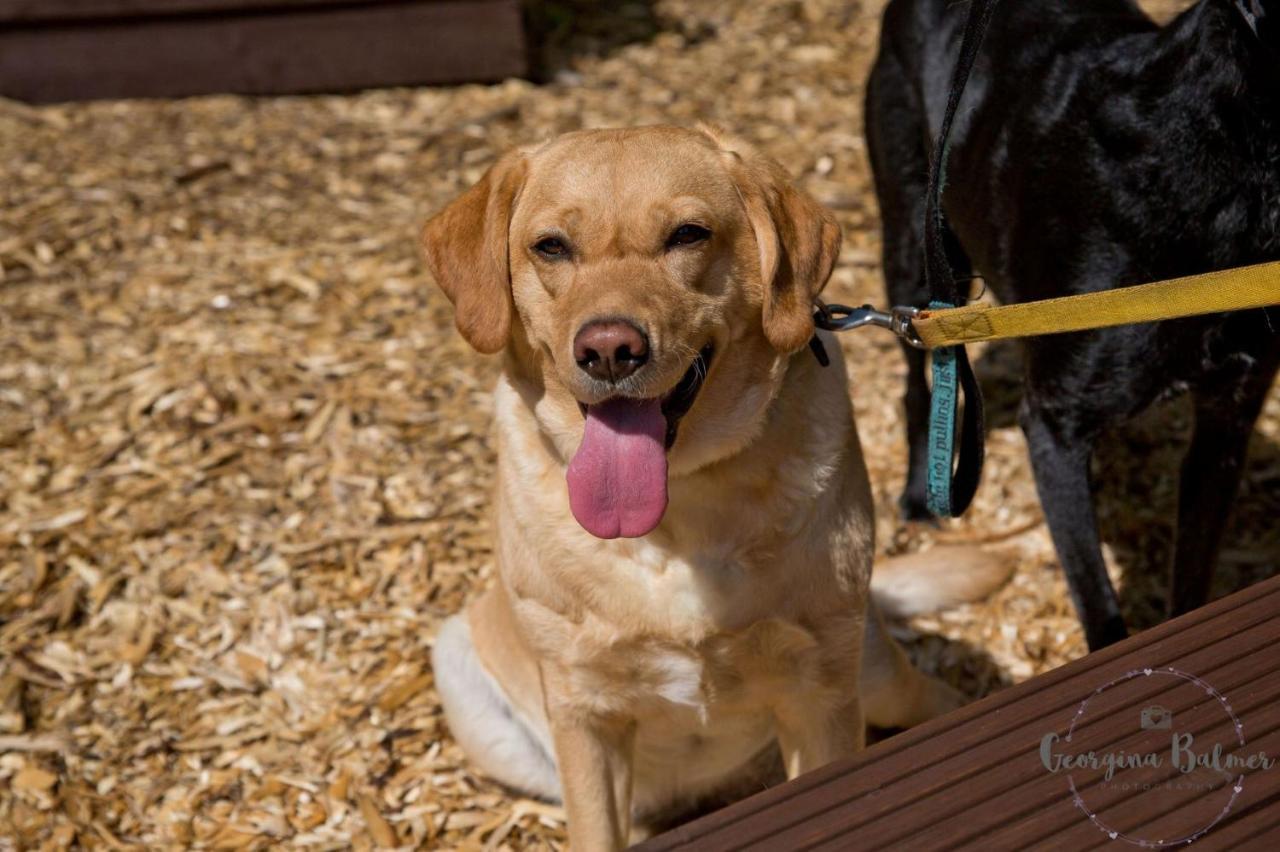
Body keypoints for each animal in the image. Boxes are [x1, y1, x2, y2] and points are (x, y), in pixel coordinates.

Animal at [424, 124, 1003, 844]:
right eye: (551, 246)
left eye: (688, 235)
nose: (608, 350)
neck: (677, 513)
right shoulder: (585, 717)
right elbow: (596, 828)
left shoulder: (818, 698)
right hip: (463, 671)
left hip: (872, 673)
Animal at [865, 0, 1274, 647]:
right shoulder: (1055, 428)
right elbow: (1101, 608)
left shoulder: (1226, 421)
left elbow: (1191, 585)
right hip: (916, 246)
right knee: (916, 381)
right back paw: (915, 497)